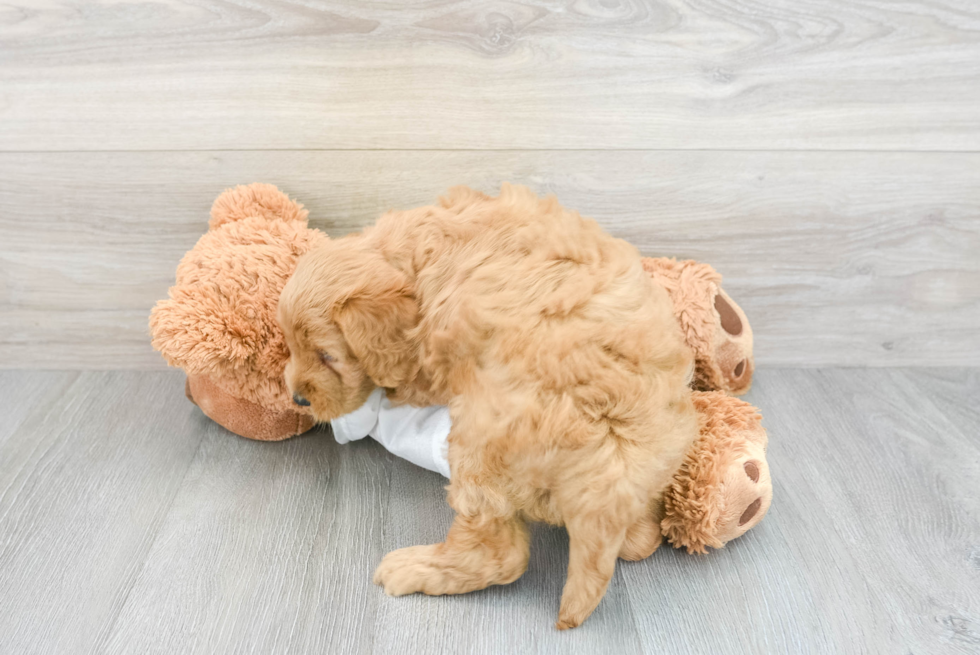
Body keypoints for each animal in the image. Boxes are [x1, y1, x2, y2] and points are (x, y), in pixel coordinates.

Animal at [280, 184, 700, 632]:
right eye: (289, 344)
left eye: (327, 356)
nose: (298, 399)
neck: (413, 257)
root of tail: (611, 471)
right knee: (640, 540)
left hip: (479, 439)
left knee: (500, 553)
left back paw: (414, 567)